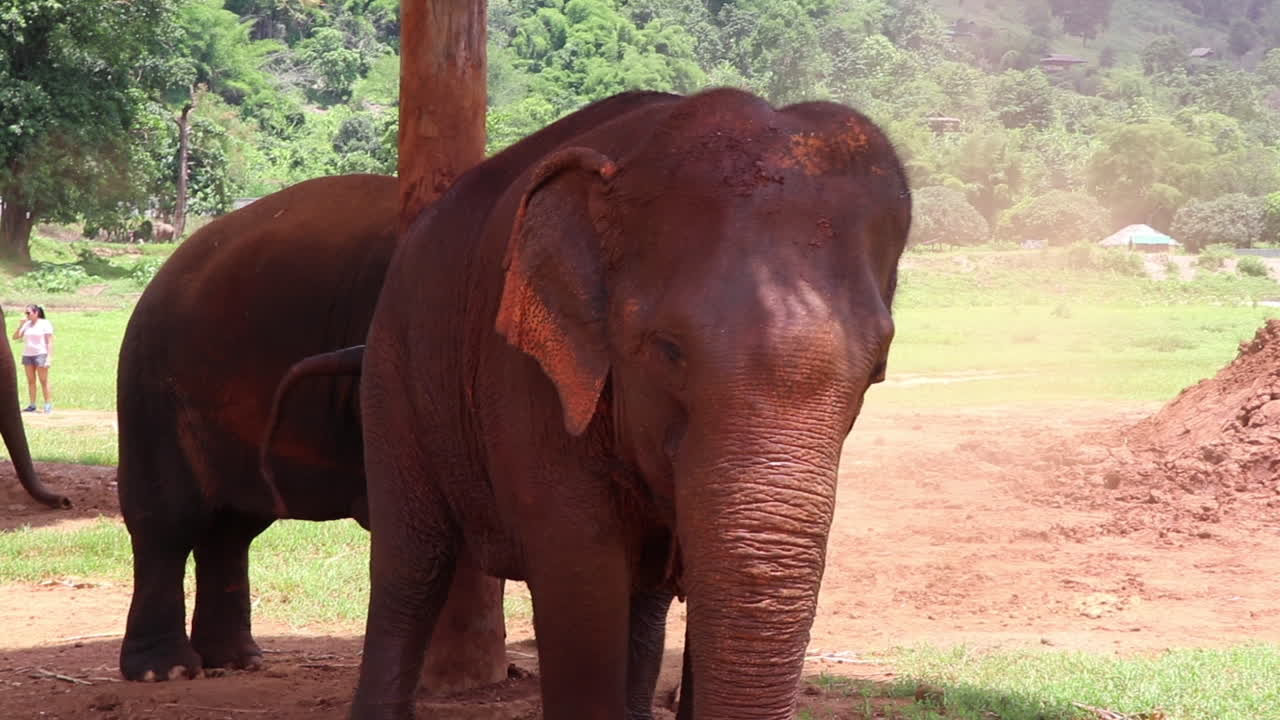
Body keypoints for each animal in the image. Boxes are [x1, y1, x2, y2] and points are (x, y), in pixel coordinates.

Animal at [350, 87, 911, 720]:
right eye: (668, 349)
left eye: (877, 367)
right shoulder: (529, 376)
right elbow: (582, 580)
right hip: (391, 369)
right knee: (410, 567)